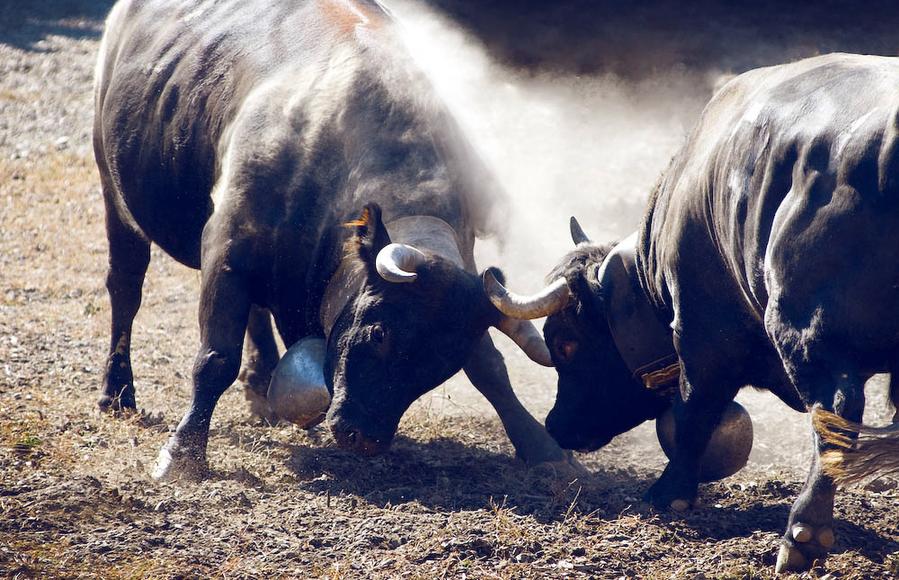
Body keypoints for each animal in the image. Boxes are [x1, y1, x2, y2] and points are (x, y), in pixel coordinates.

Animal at [93, 0, 576, 480]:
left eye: (444, 364)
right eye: (378, 332)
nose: (364, 438)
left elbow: (491, 366)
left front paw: (540, 443)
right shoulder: (226, 248)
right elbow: (215, 357)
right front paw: (184, 452)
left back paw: (261, 382)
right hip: (114, 192)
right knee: (126, 289)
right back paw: (117, 392)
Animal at [488, 53, 899, 572]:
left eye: (566, 342)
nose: (556, 425)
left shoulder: (704, 337)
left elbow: (694, 412)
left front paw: (670, 491)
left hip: (805, 333)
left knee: (835, 416)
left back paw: (802, 532)